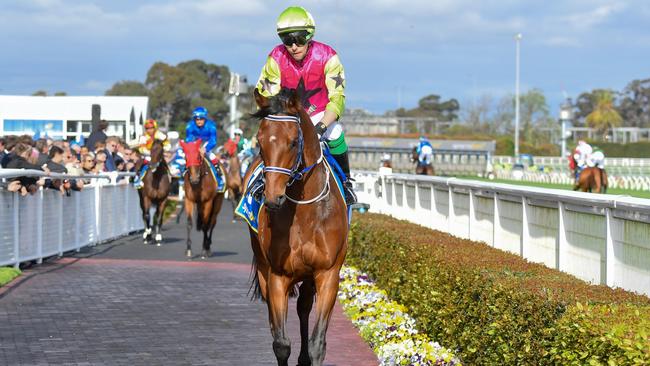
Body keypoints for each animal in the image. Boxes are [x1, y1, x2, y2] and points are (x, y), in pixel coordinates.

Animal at [239, 86, 350, 366]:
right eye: (260, 142)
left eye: (292, 142)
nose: (272, 197)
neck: (305, 215)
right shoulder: (278, 276)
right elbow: (280, 343)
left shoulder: (327, 274)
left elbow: (317, 343)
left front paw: (309, 354)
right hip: (264, 271)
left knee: (304, 308)